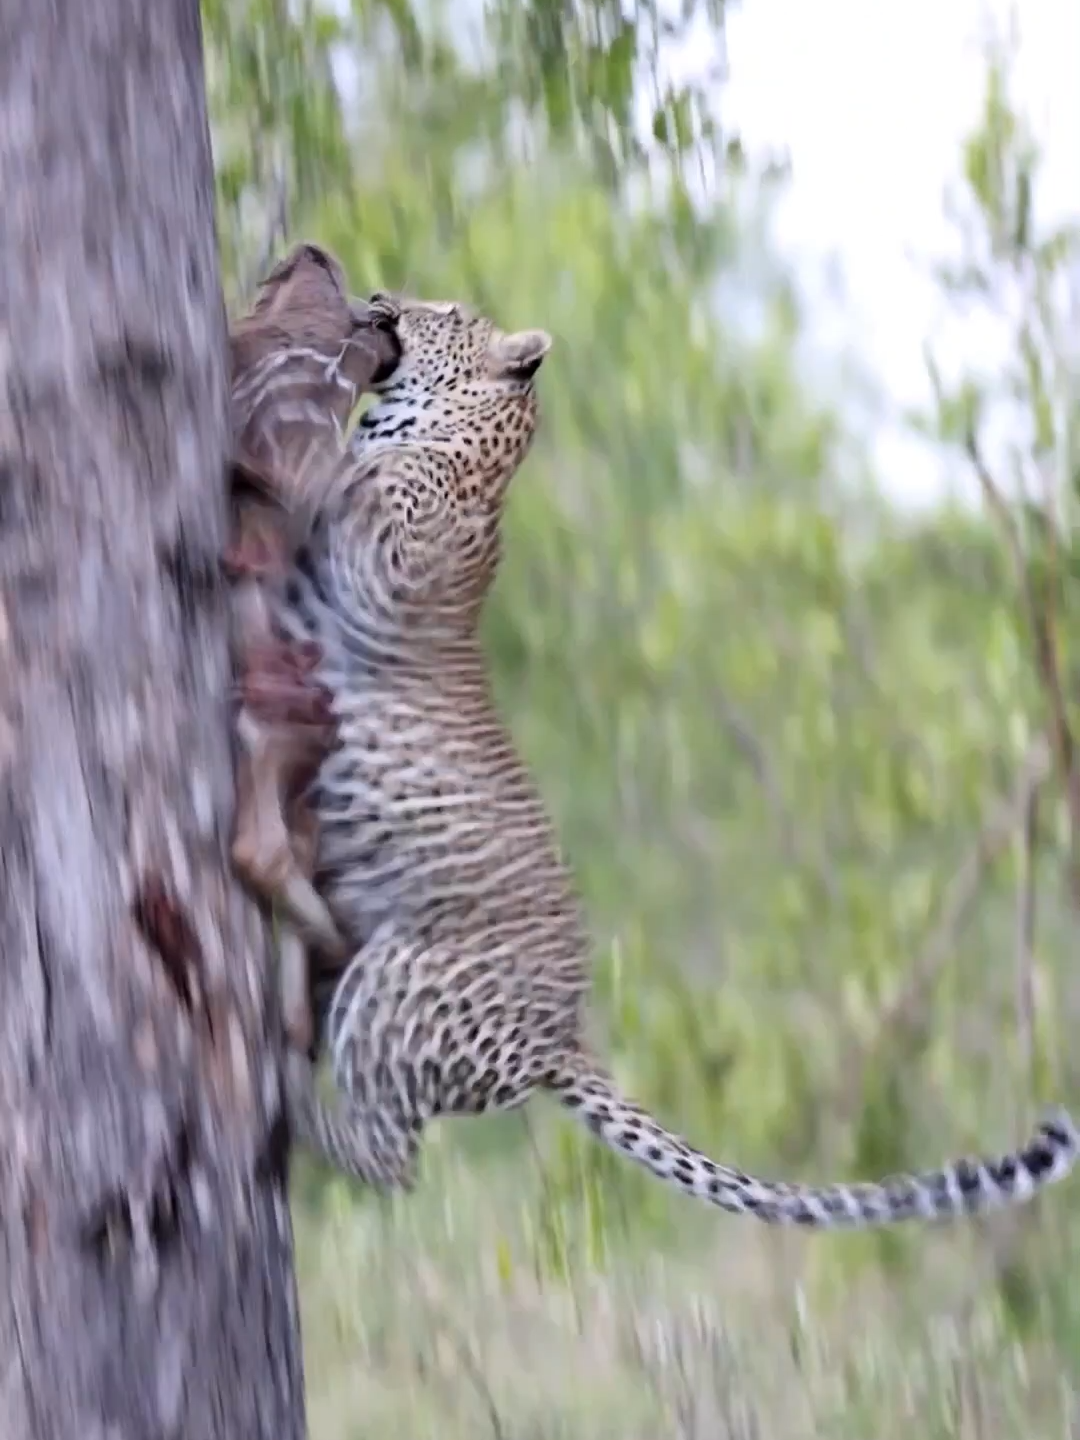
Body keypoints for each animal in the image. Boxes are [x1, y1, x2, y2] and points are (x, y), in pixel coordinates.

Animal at [257, 289, 1077, 1226]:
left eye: (451, 310)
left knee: (394, 1158)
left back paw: (292, 1102)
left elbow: (354, 487)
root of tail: (562, 1040)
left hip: (394, 992)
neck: (470, 448)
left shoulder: (395, 556)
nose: (383, 298)